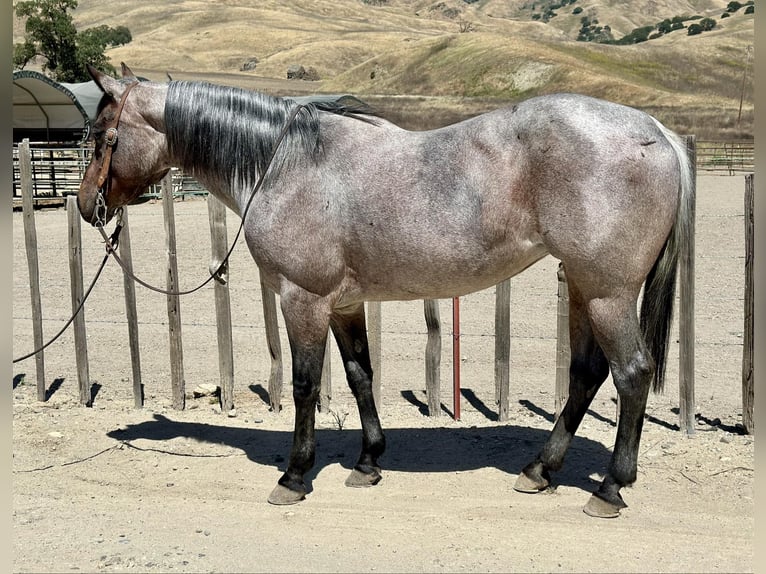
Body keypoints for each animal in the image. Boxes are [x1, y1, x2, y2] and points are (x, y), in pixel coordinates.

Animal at [78, 63, 693, 518]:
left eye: (102, 137)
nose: (87, 207)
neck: (286, 163)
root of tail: (659, 132)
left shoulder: (303, 300)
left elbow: (304, 386)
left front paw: (295, 475)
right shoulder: (344, 305)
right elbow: (359, 376)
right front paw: (368, 462)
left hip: (608, 293)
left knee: (631, 374)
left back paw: (609, 488)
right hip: (586, 289)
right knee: (586, 375)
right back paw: (540, 471)